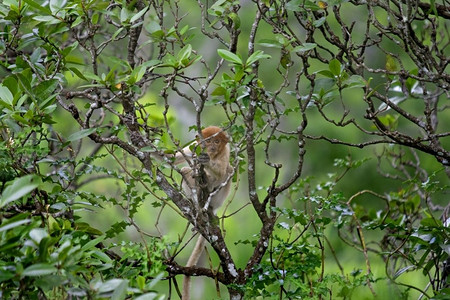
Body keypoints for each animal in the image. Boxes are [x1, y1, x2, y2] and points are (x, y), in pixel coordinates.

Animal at [174, 126, 232, 300]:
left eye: (217, 141)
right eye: (208, 141)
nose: (211, 148)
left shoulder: (225, 151)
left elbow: (221, 171)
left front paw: (207, 163)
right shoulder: (195, 147)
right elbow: (174, 157)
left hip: (219, 198)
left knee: (229, 170)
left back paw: (207, 186)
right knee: (185, 170)